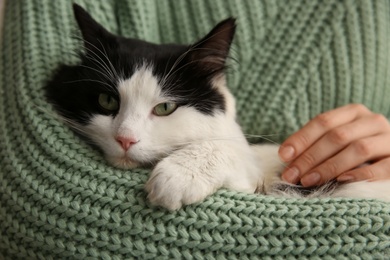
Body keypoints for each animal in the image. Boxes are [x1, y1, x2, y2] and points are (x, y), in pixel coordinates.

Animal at [44, 4, 390, 210]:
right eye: (107, 101)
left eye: (165, 108)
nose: (125, 139)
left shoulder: (253, 177)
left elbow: (221, 148)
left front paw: (178, 176)